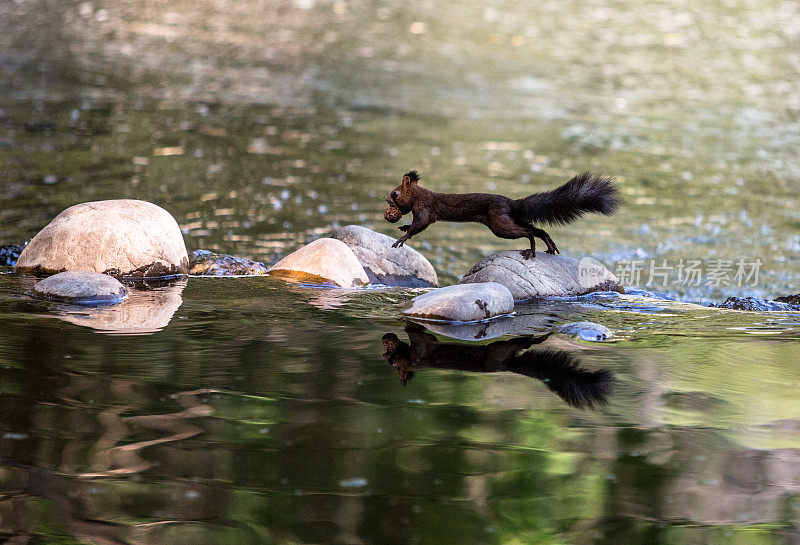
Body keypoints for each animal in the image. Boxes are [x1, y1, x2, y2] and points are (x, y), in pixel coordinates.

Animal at [382, 171, 620, 258]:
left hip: (500, 225)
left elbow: (420, 225)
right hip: (506, 220)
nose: (385, 200)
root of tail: (512, 204)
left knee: (527, 231)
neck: (419, 195)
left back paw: (532, 249)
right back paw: (549, 246)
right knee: (537, 228)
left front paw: (402, 238)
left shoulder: (426, 210)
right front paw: (403, 227)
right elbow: (415, 225)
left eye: (395, 193)